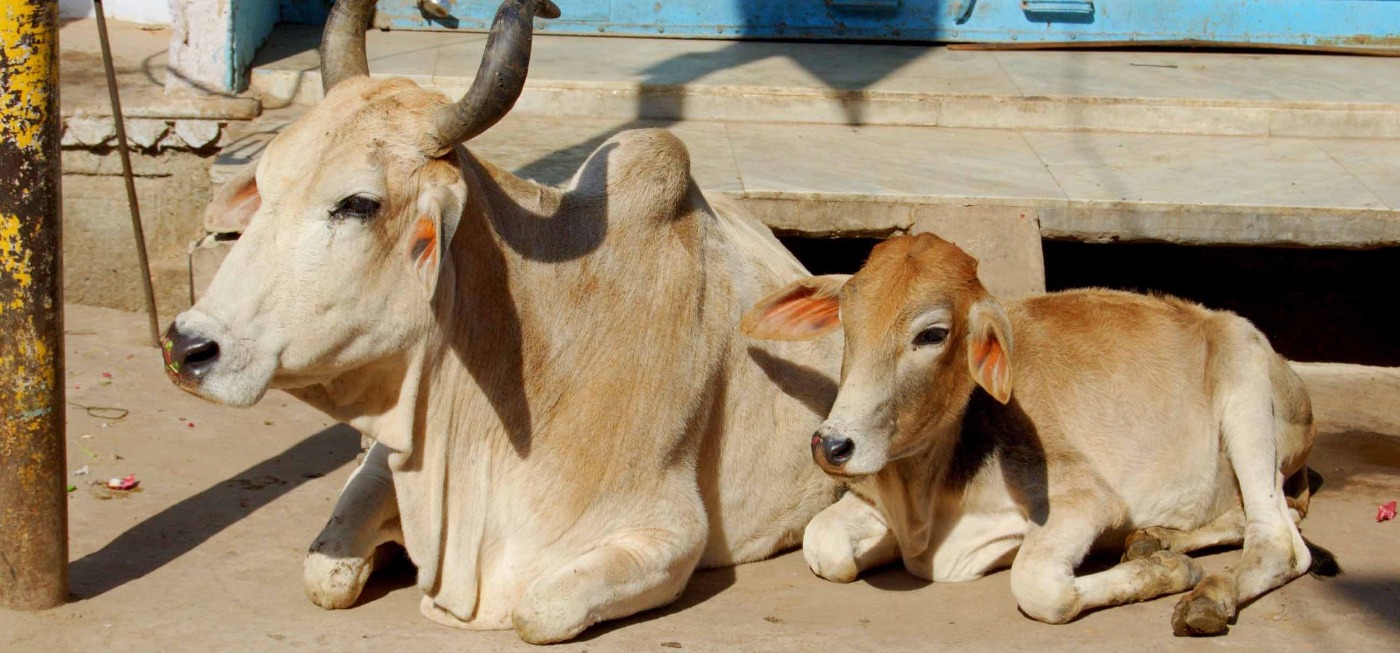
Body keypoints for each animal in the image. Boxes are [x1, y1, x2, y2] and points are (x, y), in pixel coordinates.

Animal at [160, 0, 842, 643]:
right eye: (266, 182)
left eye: (357, 204)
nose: (187, 347)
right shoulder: (394, 454)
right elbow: (325, 574)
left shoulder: (668, 532)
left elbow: (536, 611)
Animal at [740, 233, 1337, 637]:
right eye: (846, 318)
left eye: (932, 334)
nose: (832, 444)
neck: (924, 494)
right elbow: (823, 543)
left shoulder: (1085, 497)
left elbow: (1039, 586)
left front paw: (1169, 573)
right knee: (1260, 516)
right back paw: (1156, 537)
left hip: (1247, 391)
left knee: (1279, 540)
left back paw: (1205, 597)